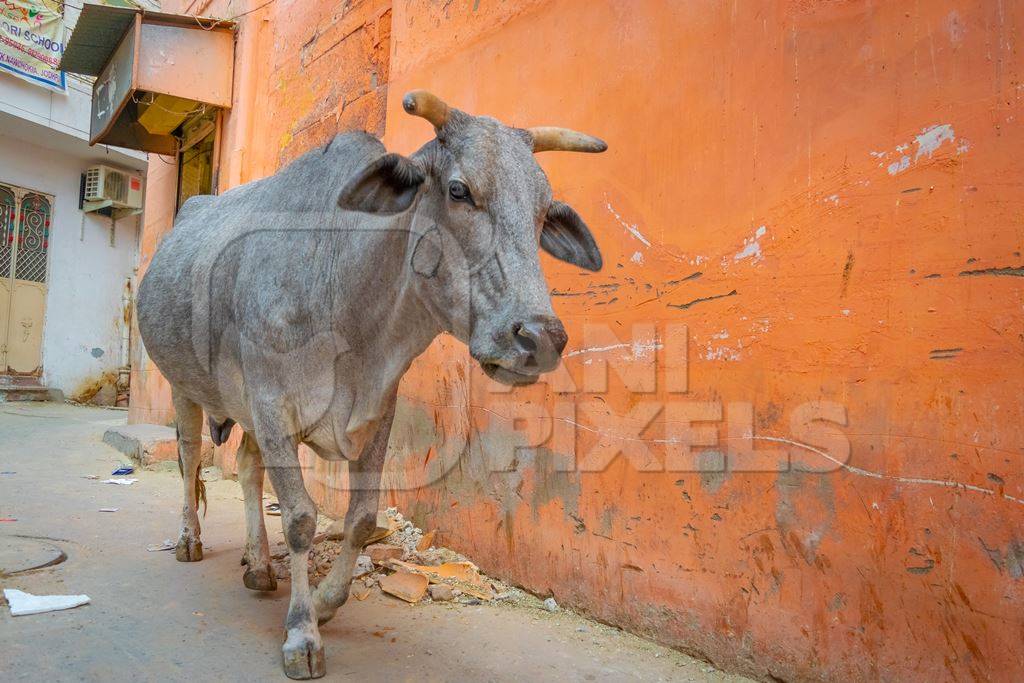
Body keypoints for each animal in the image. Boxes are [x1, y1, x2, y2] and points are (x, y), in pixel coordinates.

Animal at [134, 90, 598, 679]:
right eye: (458, 190)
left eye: (542, 213)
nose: (540, 337)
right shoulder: (273, 405)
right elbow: (302, 519)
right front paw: (302, 634)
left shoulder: (376, 413)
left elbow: (360, 519)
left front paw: (326, 603)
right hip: (185, 388)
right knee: (191, 458)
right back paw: (190, 540)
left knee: (245, 469)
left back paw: (258, 565)